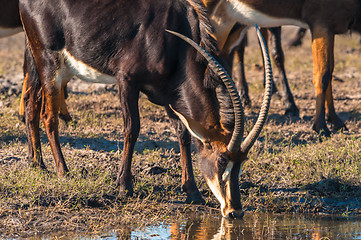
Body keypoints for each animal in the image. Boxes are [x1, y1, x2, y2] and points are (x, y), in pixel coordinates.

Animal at [19, 0, 272, 218]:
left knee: (31, 103)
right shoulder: (127, 80)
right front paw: (124, 185)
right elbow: (133, 128)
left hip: (39, 62)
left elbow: (183, 133)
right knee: (49, 116)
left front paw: (192, 191)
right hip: (50, 64)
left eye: (242, 161)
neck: (174, 37)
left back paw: (38, 164)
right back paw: (63, 171)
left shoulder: (168, 94)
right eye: (221, 160)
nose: (235, 211)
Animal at [202, 0, 360, 136]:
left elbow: (328, 71)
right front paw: (321, 126)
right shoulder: (321, 23)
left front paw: (335, 121)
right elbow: (323, 74)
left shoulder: (328, 27)